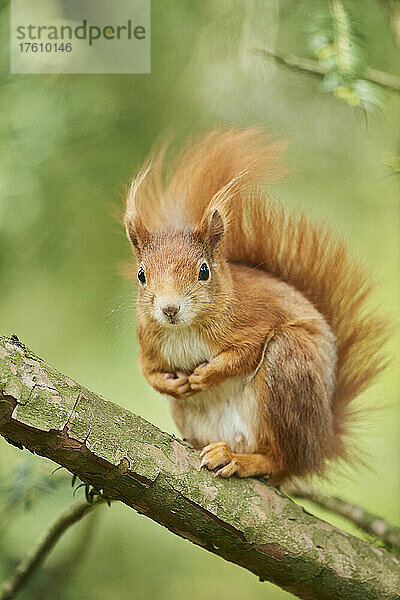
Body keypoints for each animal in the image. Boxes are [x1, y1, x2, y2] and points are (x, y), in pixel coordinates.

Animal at [124, 127, 388, 482]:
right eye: (141, 275)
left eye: (203, 271)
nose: (169, 309)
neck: (186, 328)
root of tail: (318, 445)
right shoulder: (149, 343)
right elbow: (146, 369)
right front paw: (171, 383)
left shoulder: (258, 318)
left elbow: (245, 353)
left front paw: (206, 375)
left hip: (289, 364)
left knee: (277, 457)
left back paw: (238, 459)